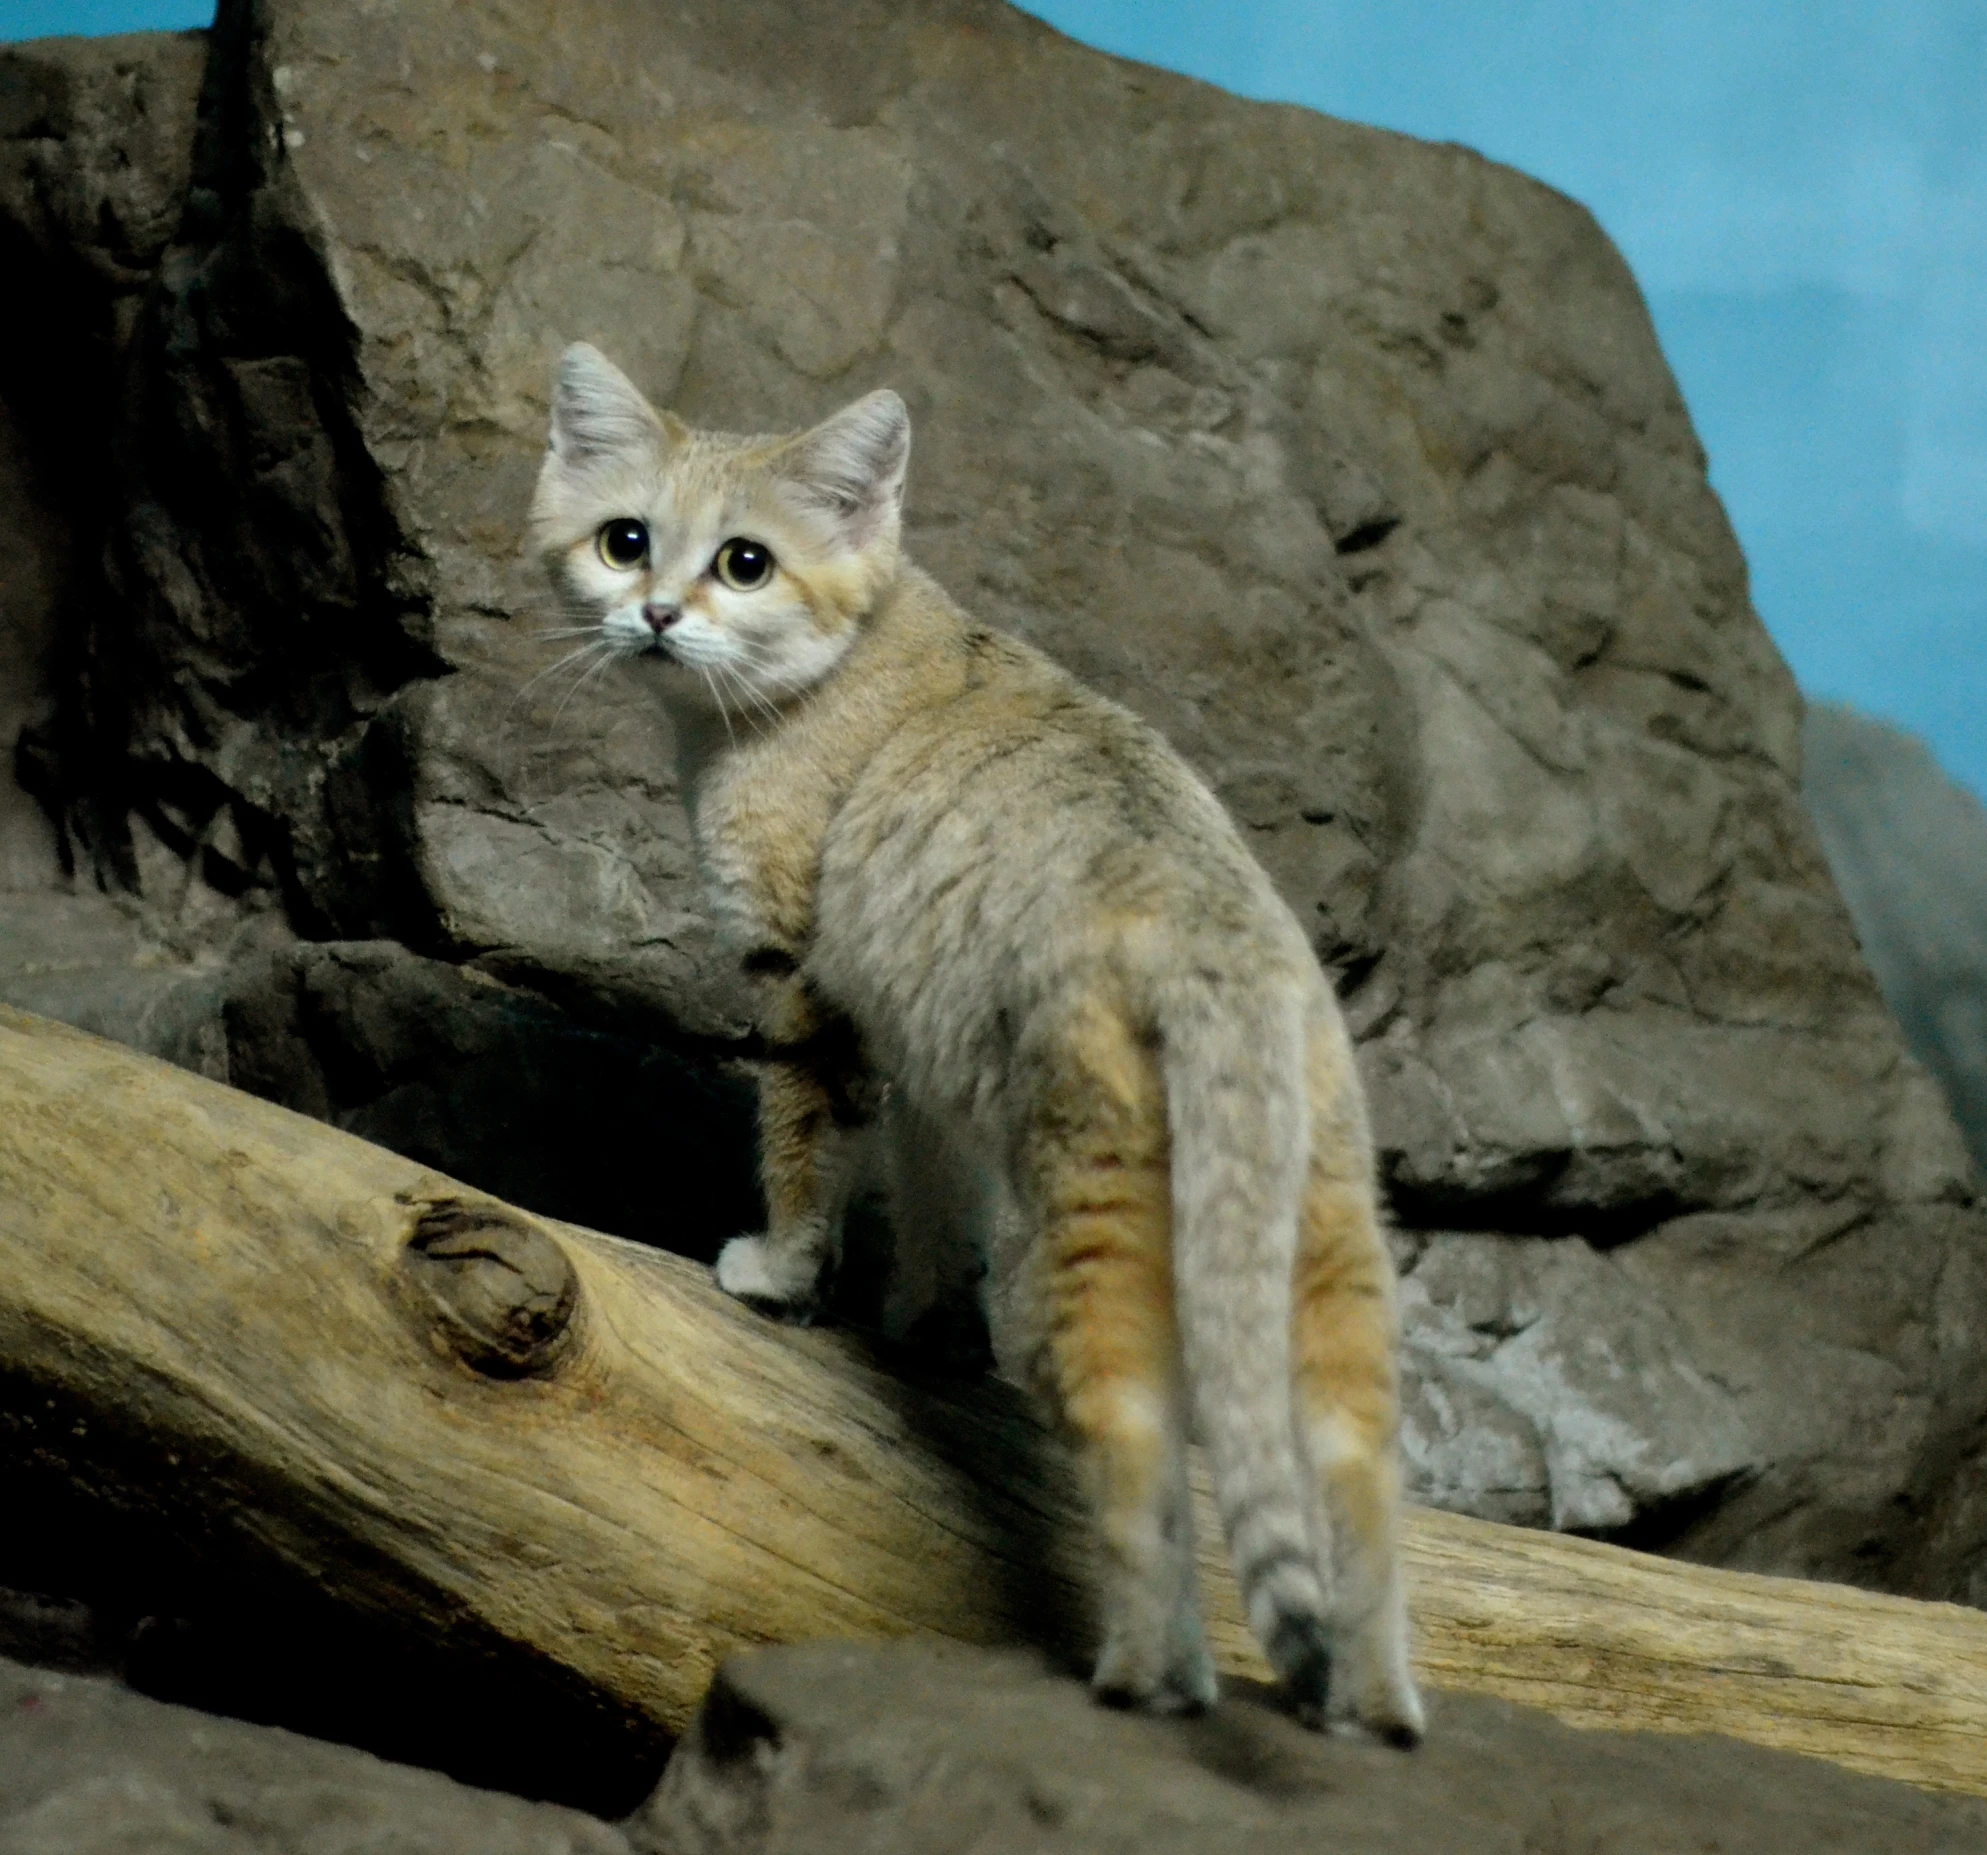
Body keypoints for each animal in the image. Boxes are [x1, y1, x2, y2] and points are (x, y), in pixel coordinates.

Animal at [528, 345, 1430, 1739]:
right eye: (625, 541)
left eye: (745, 562)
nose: (660, 615)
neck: (845, 655)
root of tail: (1216, 935)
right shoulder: (922, 1036)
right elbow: (930, 1181)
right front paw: (927, 1320)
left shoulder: (804, 978)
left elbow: (804, 1142)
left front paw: (782, 1274)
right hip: (1326, 1224)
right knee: (1359, 1455)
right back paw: (1379, 1711)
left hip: (1093, 1224)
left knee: (1138, 1444)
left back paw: (1150, 1677)